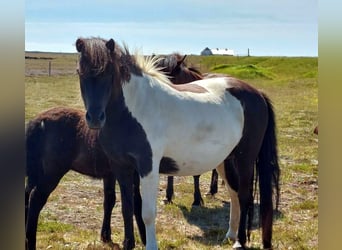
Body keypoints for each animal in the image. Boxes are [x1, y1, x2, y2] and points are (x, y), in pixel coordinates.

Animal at [25, 106, 146, 249]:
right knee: (35, 199)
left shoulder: (113, 174)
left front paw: (107, 237)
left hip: (36, 171)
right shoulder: (124, 172)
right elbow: (128, 205)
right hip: (52, 172)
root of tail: (38, 121)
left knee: (27, 194)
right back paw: (30, 243)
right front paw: (129, 242)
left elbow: (114, 201)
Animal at [75, 37, 280, 250]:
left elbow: (147, 213)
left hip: (245, 159)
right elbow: (127, 209)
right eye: (79, 72)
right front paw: (128, 244)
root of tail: (257, 93)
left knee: (244, 196)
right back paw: (229, 235)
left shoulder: (148, 167)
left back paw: (239, 242)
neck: (133, 110)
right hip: (225, 160)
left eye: (109, 72)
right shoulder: (121, 167)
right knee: (234, 193)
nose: (95, 118)